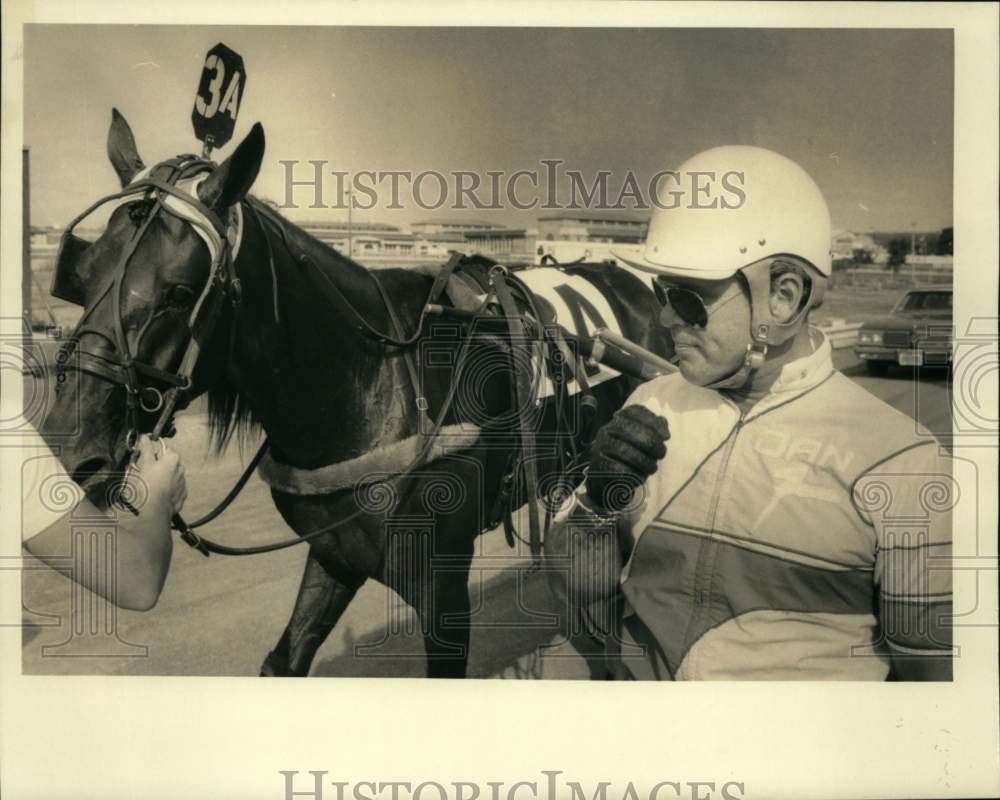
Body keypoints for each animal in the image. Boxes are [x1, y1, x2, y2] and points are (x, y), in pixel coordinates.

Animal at [43, 109, 676, 680]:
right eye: (83, 274)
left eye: (178, 292)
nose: (72, 445)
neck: (372, 383)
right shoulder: (336, 551)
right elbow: (284, 659)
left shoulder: (441, 585)